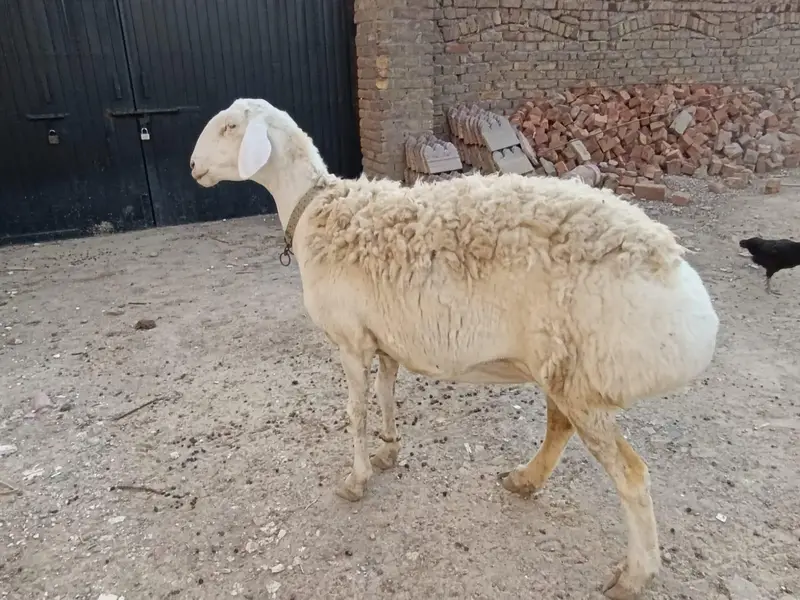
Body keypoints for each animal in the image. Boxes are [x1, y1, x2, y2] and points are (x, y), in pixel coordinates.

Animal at [189, 98, 719, 600]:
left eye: (231, 127)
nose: (193, 166)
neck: (315, 213)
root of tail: (685, 287)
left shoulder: (350, 339)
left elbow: (355, 412)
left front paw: (356, 479)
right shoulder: (384, 338)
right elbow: (386, 395)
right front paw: (388, 452)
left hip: (585, 373)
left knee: (630, 474)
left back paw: (635, 574)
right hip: (564, 368)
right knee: (559, 425)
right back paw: (525, 480)